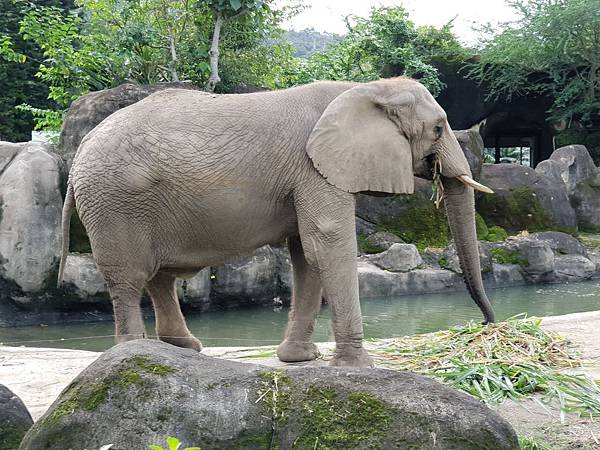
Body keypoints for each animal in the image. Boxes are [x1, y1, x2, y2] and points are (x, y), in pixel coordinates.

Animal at [58, 76, 494, 366]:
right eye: (438, 129)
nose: (485, 325)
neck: (366, 88)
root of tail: (79, 152)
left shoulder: (312, 171)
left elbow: (306, 253)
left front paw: (299, 358)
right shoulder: (315, 167)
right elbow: (328, 242)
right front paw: (358, 367)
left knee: (159, 277)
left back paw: (180, 348)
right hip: (115, 202)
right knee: (129, 278)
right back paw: (133, 351)